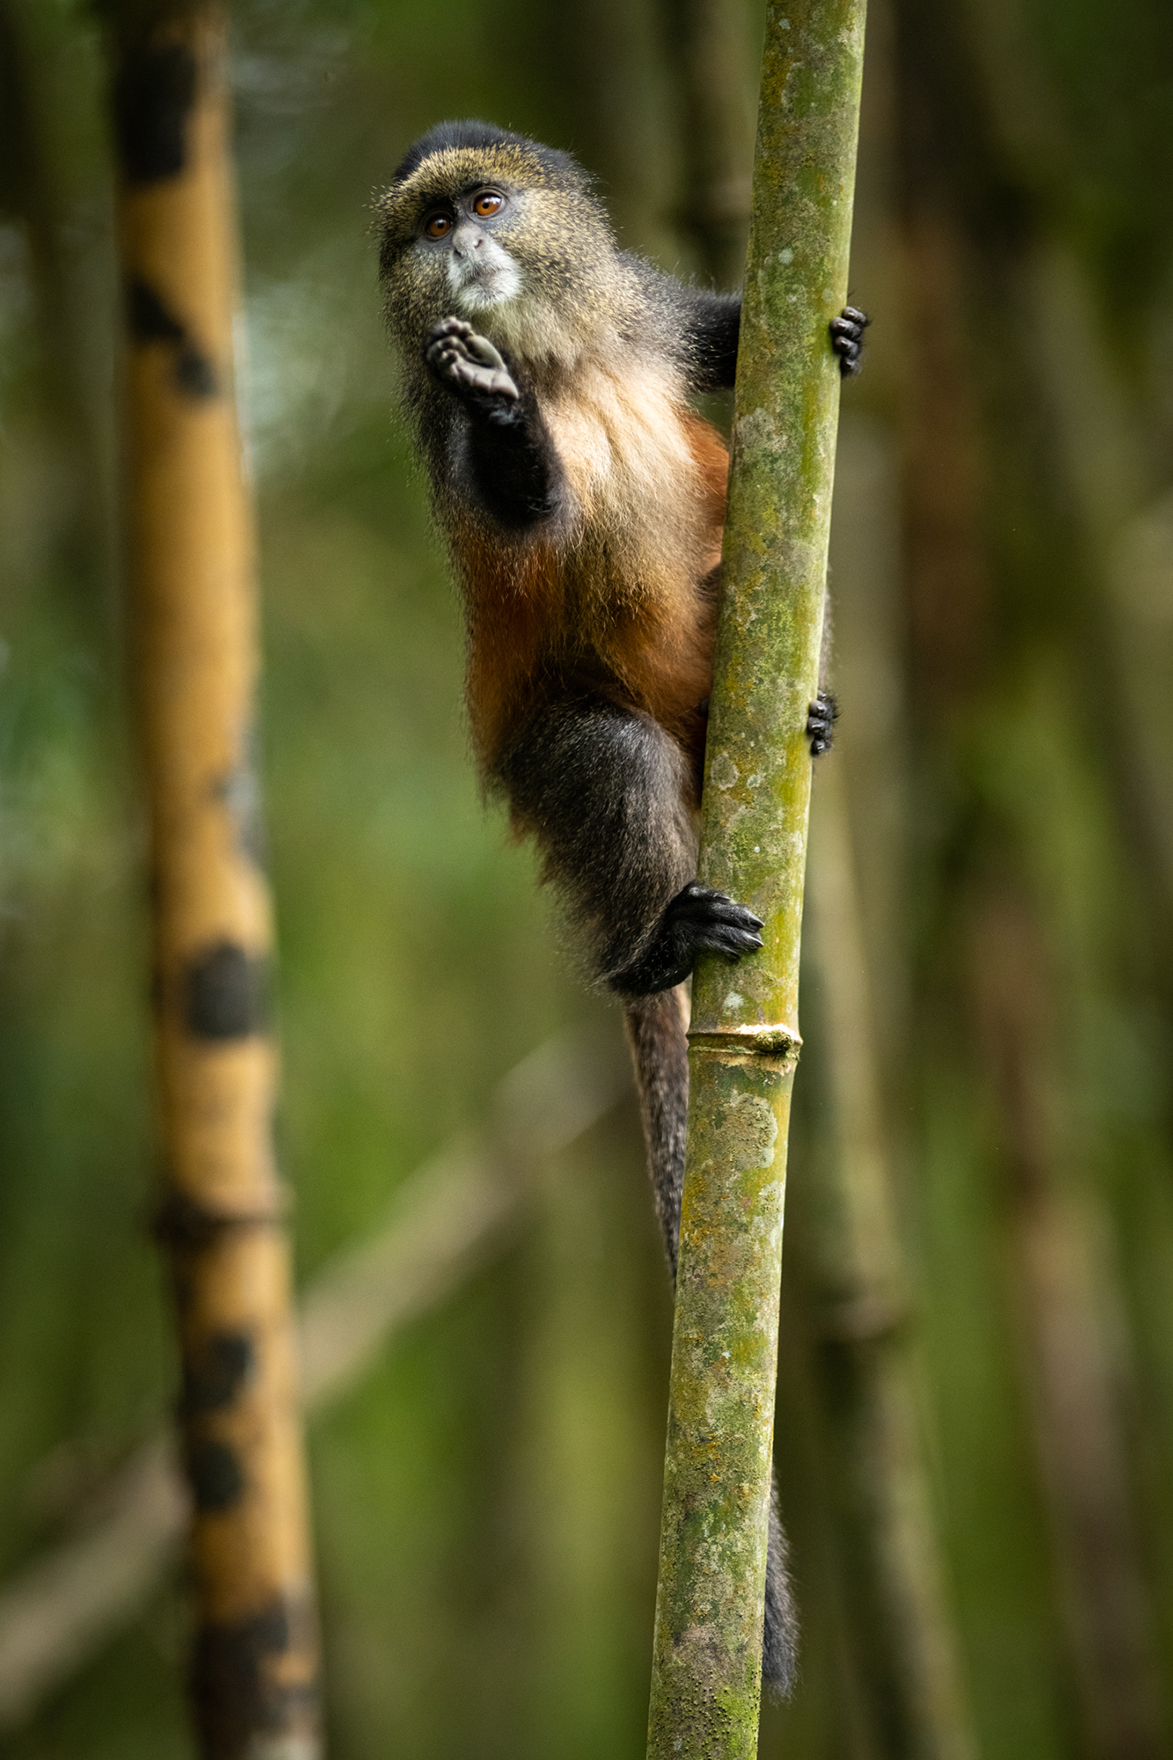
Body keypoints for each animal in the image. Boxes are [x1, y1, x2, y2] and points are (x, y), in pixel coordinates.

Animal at [378, 119, 867, 1697]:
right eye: (428, 232)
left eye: (485, 203)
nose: (468, 249)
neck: (563, 356)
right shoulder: (452, 451)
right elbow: (521, 505)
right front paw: (500, 407)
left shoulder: (636, 312)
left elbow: (724, 334)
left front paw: (821, 325)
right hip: (560, 754)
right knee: (615, 761)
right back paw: (658, 945)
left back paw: (805, 716)